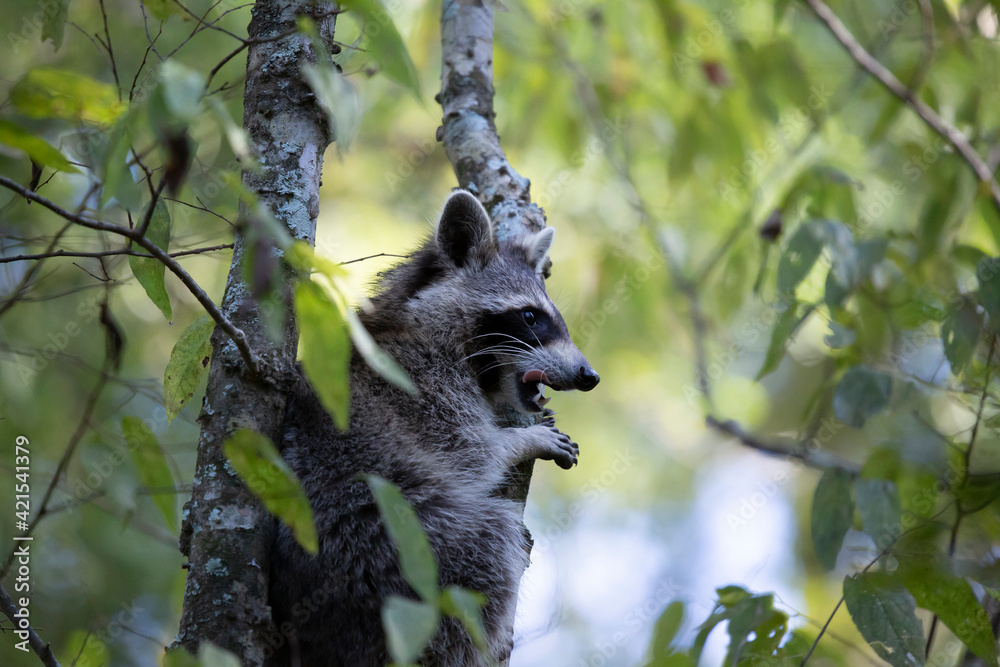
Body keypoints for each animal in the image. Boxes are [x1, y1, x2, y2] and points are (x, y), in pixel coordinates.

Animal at [269, 190, 600, 666]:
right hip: (395, 549)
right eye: (531, 317)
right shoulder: (420, 384)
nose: (589, 376)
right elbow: (471, 453)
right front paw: (523, 441)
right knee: (493, 542)